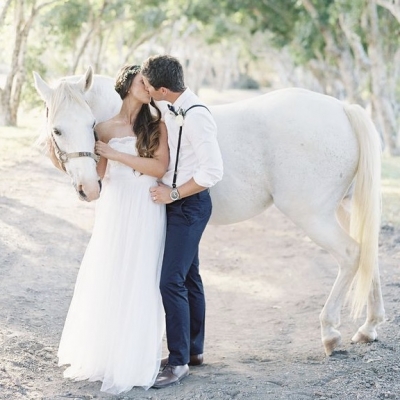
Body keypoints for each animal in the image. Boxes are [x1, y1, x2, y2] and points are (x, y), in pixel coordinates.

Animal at [33, 66, 384, 356]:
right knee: (368, 254)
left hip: (313, 216)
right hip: (346, 209)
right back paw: (368, 328)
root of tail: (342, 109)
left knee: (351, 254)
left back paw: (330, 333)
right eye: (58, 130)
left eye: (91, 124)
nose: (89, 188)